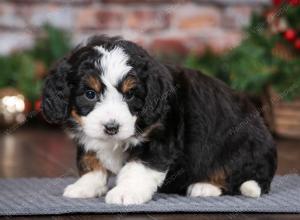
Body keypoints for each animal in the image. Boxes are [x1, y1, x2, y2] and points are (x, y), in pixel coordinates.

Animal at [41, 35, 276, 205]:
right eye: (90, 94)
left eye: (130, 95)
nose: (111, 128)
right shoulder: (88, 137)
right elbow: (90, 161)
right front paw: (85, 186)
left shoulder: (158, 138)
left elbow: (138, 167)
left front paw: (126, 192)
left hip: (239, 146)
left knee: (236, 176)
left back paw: (204, 186)